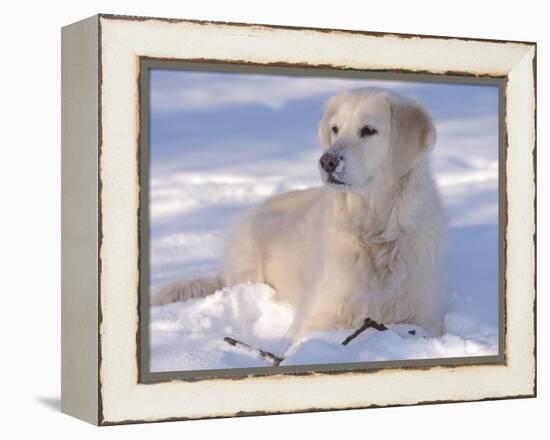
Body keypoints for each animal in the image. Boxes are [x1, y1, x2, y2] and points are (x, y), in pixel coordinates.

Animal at [152, 88, 448, 340]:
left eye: (368, 130)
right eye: (335, 129)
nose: (327, 161)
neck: (376, 228)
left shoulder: (424, 318)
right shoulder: (321, 316)